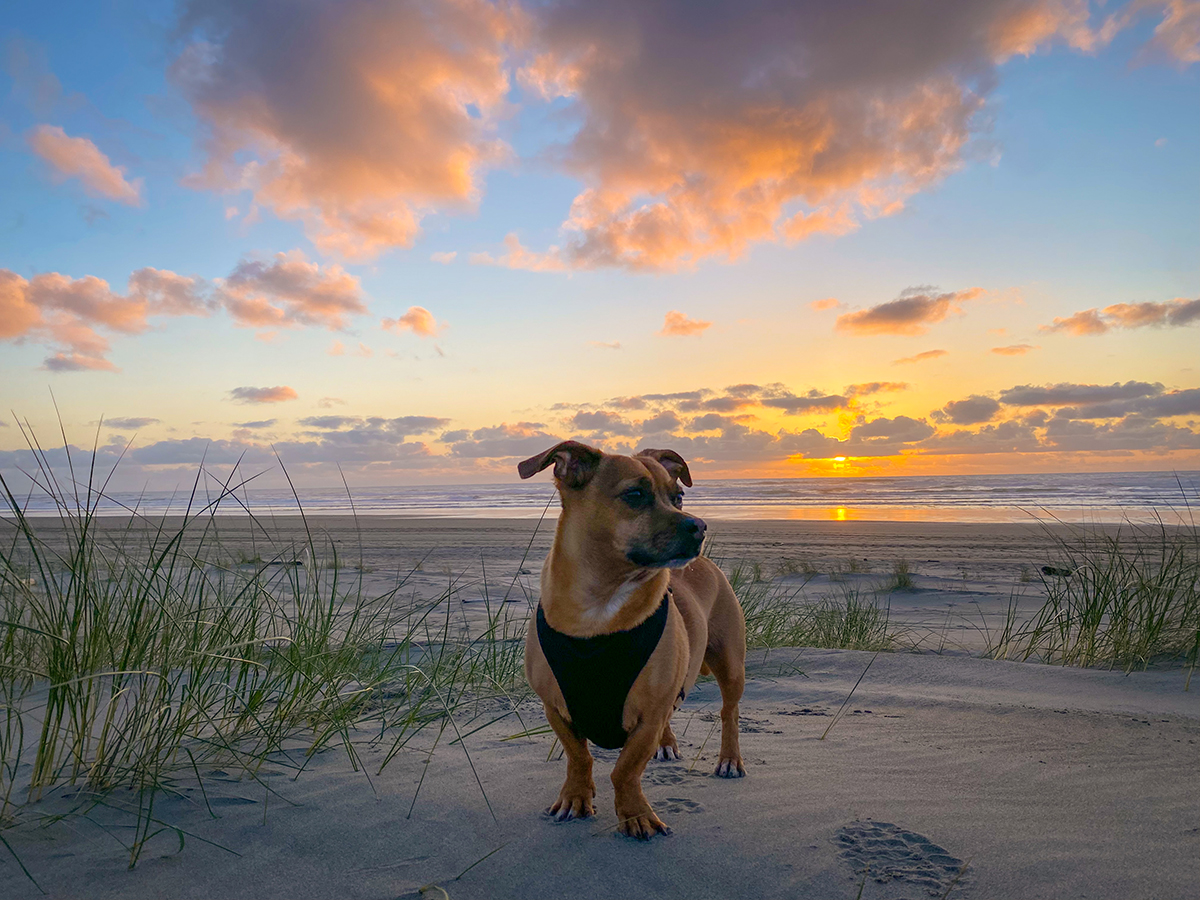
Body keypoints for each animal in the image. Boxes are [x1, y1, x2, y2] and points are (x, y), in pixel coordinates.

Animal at [518, 441, 744, 844]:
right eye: (635, 495)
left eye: (678, 496)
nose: (700, 526)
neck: (600, 606)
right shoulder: (554, 708)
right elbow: (579, 757)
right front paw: (575, 797)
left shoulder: (648, 717)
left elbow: (625, 769)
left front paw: (636, 815)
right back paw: (667, 744)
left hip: (731, 665)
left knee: (728, 712)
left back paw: (729, 759)